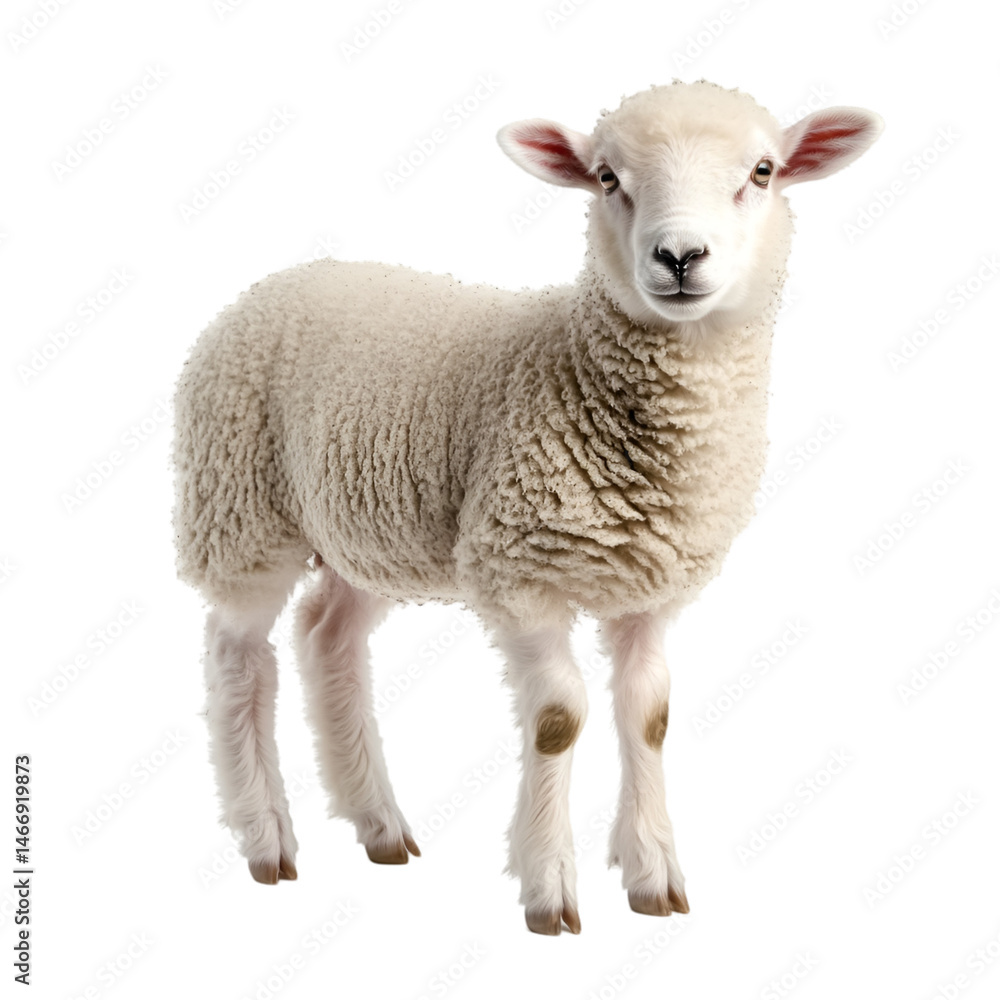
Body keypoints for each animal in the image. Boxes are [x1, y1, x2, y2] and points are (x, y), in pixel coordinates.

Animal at [172, 80, 882, 935]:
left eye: (763, 170)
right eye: (607, 178)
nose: (679, 257)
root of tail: (271, 285)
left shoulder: (651, 589)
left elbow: (650, 716)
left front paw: (653, 874)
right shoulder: (519, 572)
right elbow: (558, 720)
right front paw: (549, 888)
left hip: (366, 531)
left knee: (327, 636)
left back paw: (378, 824)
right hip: (243, 511)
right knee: (238, 659)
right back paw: (266, 838)